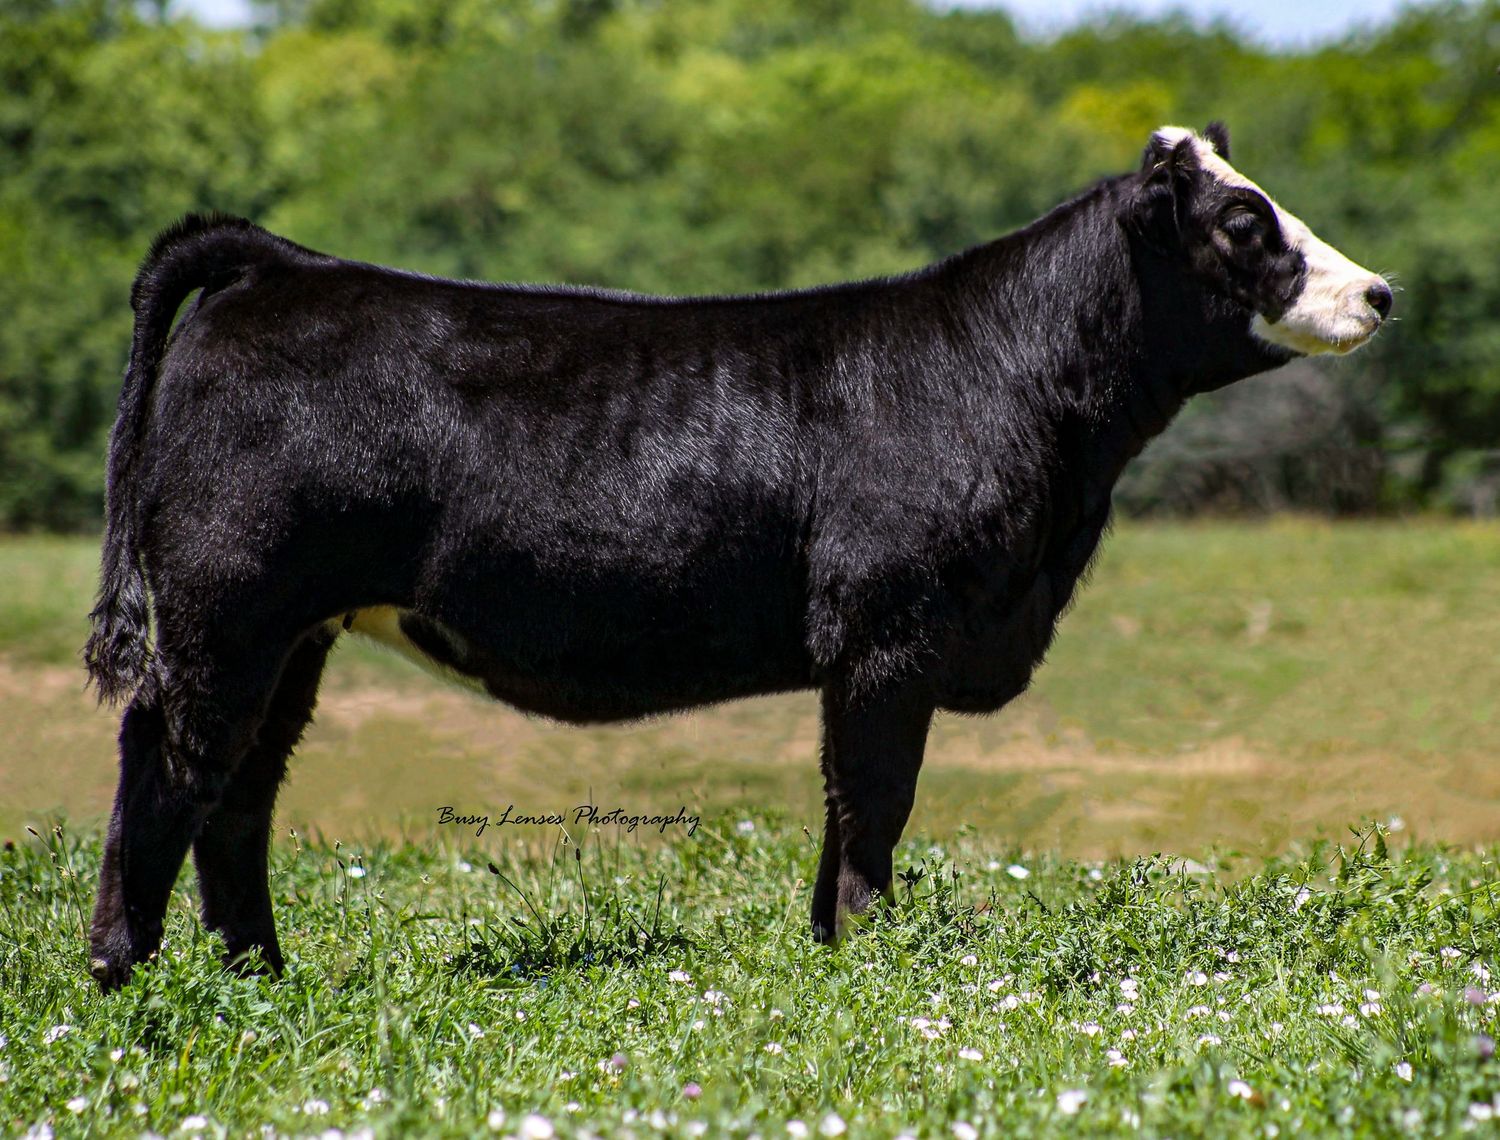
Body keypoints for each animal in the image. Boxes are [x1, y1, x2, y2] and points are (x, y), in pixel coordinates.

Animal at [83, 123, 1392, 990]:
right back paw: (123, 976)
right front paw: (873, 953)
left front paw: (827, 947)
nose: (1380, 291)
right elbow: (876, 797)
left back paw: (261, 975)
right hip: (225, 607)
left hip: (290, 630)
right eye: (1244, 222)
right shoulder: (890, 630)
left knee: (241, 789)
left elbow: (842, 800)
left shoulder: (876, 648)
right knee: (168, 759)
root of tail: (286, 265)